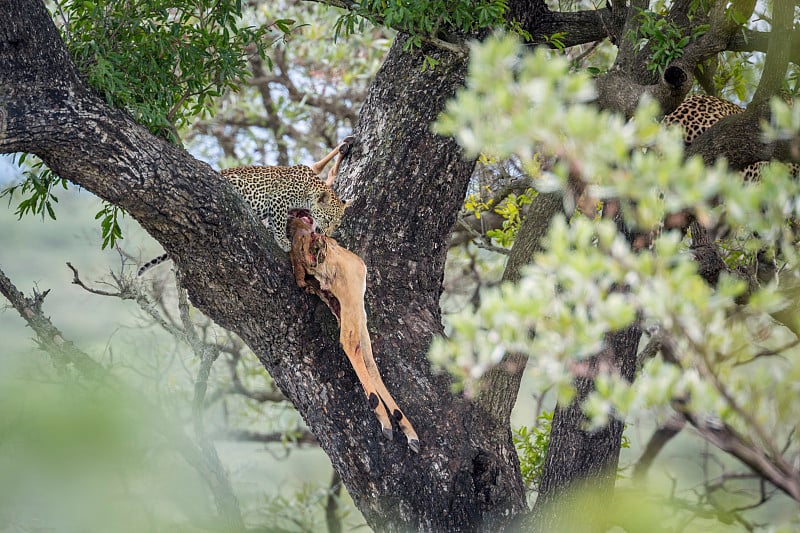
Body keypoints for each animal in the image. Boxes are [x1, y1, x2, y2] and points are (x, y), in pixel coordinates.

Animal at [139, 135, 352, 276]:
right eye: (328, 220)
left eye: (336, 223)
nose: (327, 234)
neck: (309, 190)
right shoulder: (279, 201)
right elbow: (279, 221)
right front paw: (283, 241)